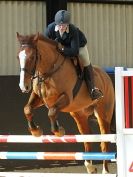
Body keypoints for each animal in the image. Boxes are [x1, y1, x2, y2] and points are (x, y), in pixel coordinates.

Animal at [16, 32, 114, 174]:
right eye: (18, 56)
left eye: (32, 57)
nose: (24, 86)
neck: (48, 71)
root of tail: (105, 75)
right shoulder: (38, 97)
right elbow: (27, 109)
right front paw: (36, 131)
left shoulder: (67, 97)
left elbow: (51, 112)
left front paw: (59, 131)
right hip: (79, 114)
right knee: (87, 136)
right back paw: (90, 167)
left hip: (103, 114)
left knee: (104, 140)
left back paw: (105, 171)